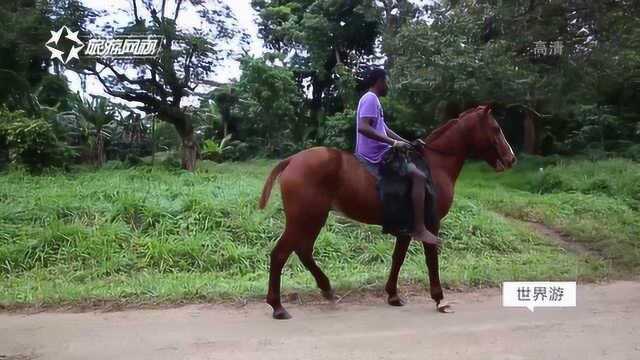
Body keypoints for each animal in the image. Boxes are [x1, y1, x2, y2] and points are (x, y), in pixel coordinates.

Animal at [258, 104, 512, 318]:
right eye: (496, 128)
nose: (511, 158)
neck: (435, 165)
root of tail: (292, 160)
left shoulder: (406, 228)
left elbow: (398, 258)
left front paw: (393, 295)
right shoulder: (431, 223)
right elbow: (431, 259)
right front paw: (440, 299)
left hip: (313, 218)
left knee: (303, 251)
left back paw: (326, 289)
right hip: (305, 218)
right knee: (280, 254)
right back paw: (278, 306)